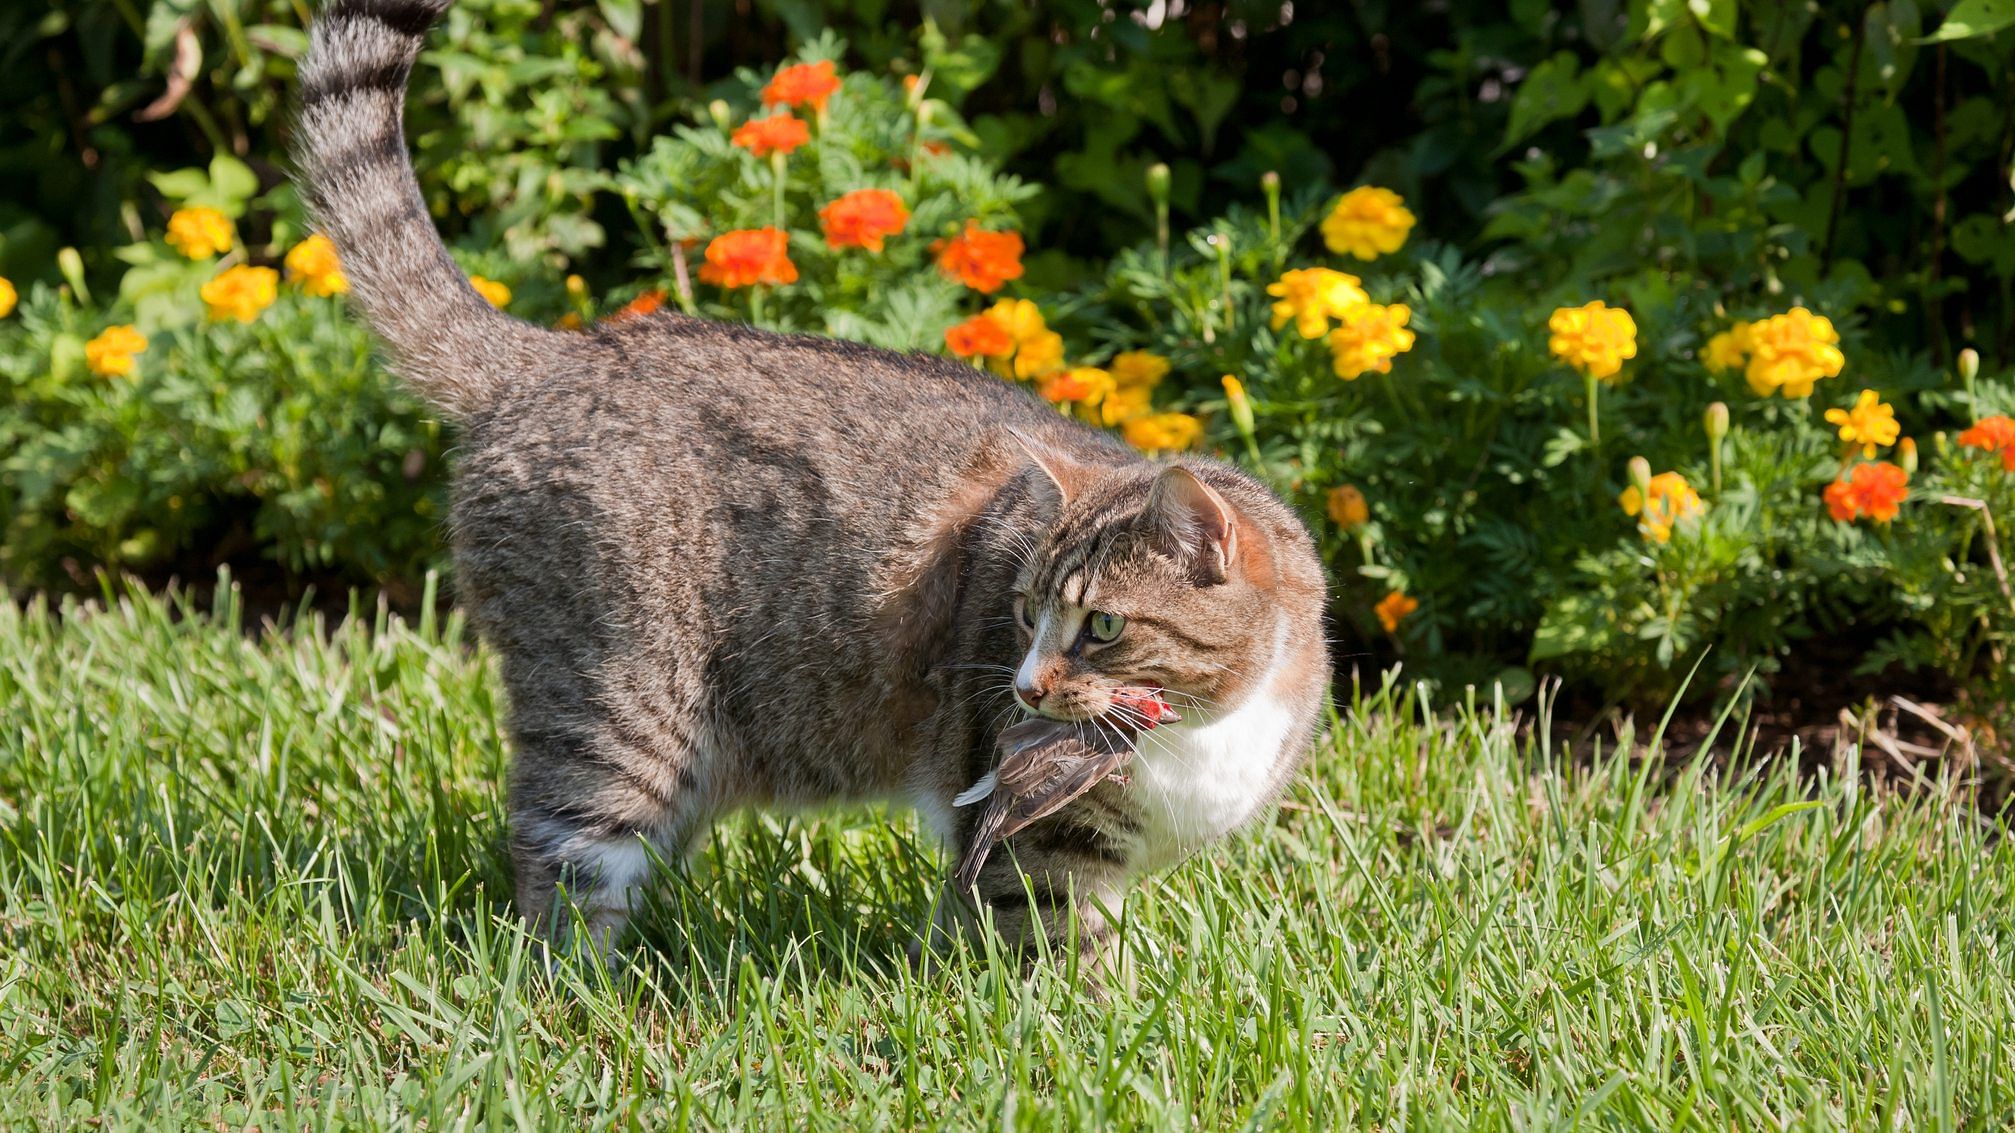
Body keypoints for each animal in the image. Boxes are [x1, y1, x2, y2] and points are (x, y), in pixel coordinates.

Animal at [292, 0, 1329, 971]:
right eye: (1025, 610)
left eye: (1103, 624)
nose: (1025, 687)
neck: (1204, 729)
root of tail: (558, 356)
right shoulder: (1028, 836)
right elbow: (1050, 945)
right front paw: (1079, 1015)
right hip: (617, 713)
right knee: (561, 879)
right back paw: (583, 997)